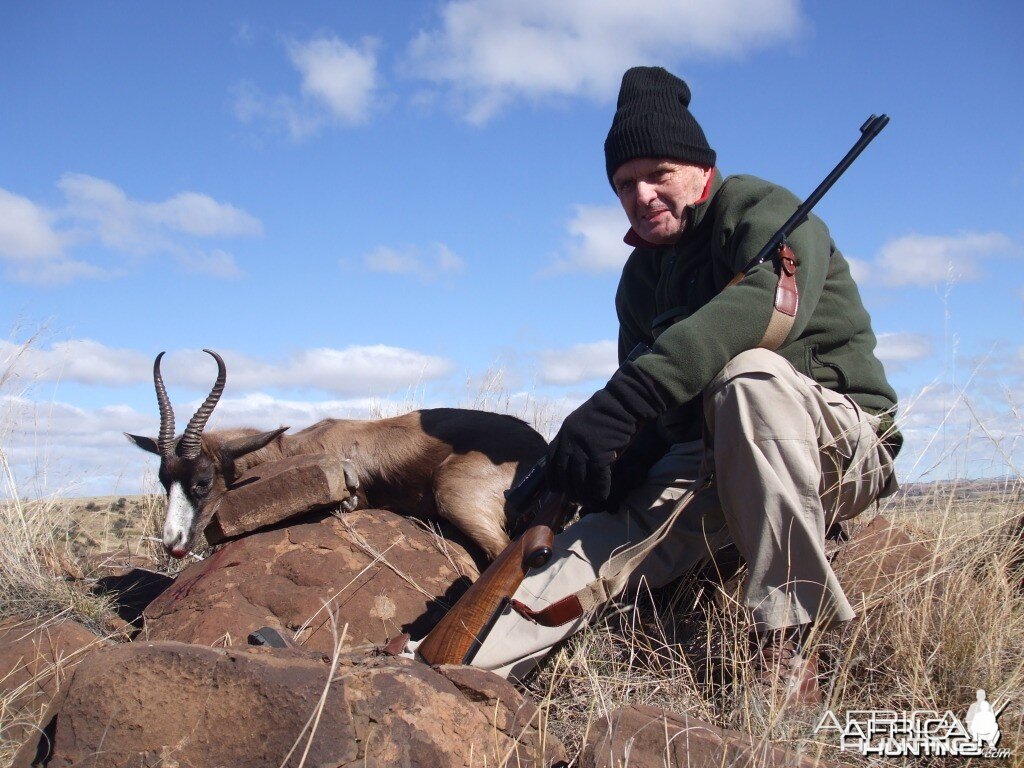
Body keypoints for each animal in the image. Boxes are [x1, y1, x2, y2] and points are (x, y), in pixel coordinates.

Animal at [125, 352, 552, 561]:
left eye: (202, 481)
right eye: (165, 480)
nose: (173, 542)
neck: (294, 447)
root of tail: (538, 445)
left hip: (456, 499)